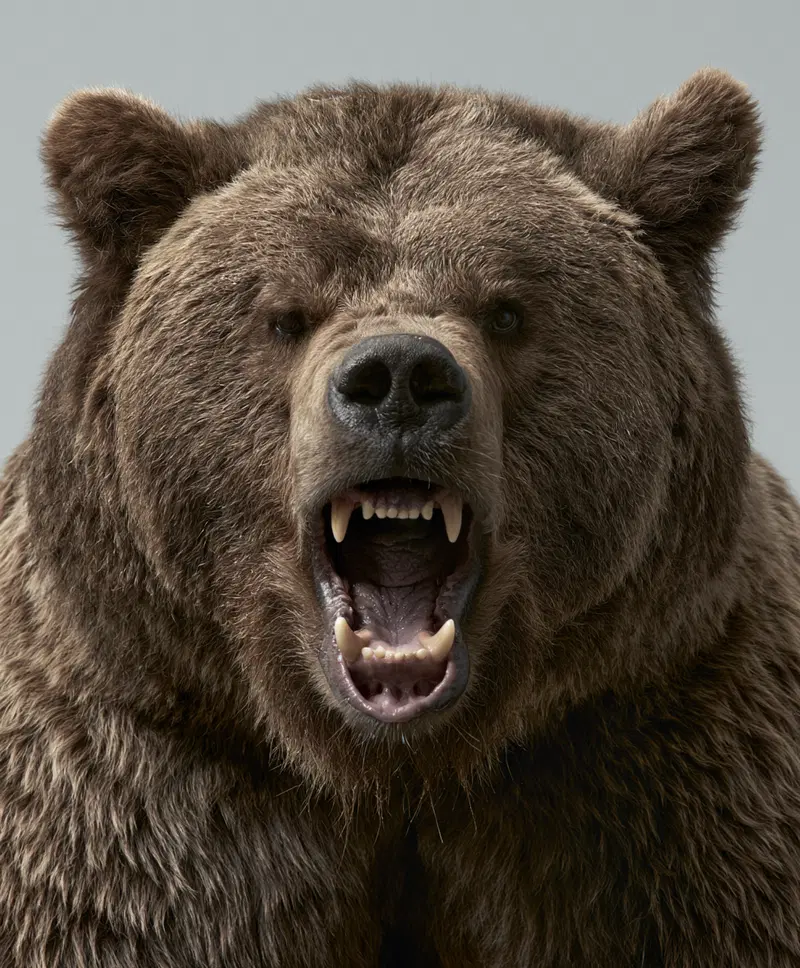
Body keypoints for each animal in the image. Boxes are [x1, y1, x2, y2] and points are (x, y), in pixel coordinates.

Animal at [0, 67, 799, 967]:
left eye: (507, 309)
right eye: (285, 313)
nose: (399, 378)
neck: (392, 773)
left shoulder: (661, 777)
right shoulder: (146, 796)